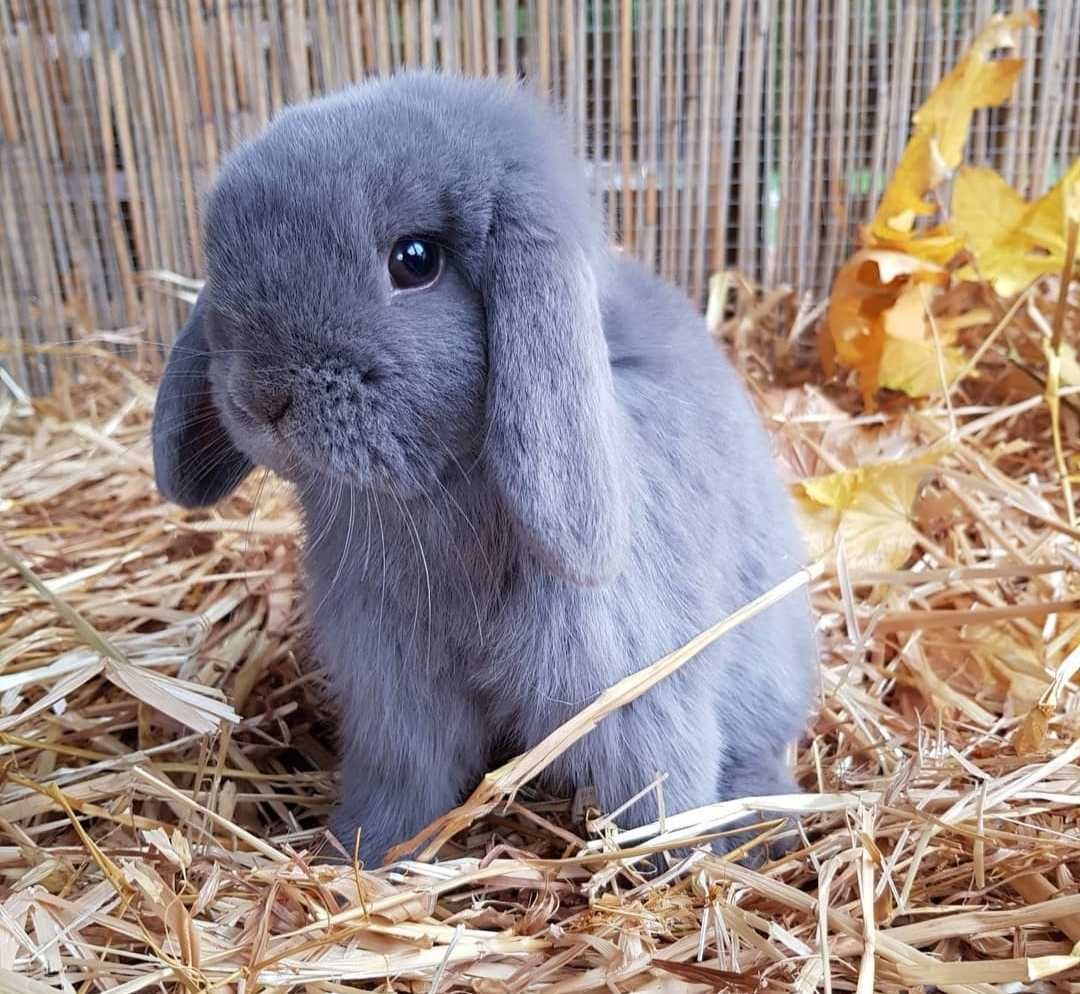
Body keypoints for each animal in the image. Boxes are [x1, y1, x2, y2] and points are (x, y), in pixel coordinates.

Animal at [150, 69, 812, 864]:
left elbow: (661, 785)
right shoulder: (396, 692)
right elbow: (403, 778)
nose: (262, 397)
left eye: (414, 260)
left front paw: (677, 869)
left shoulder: (637, 686)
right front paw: (361, 853)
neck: (442, 493)